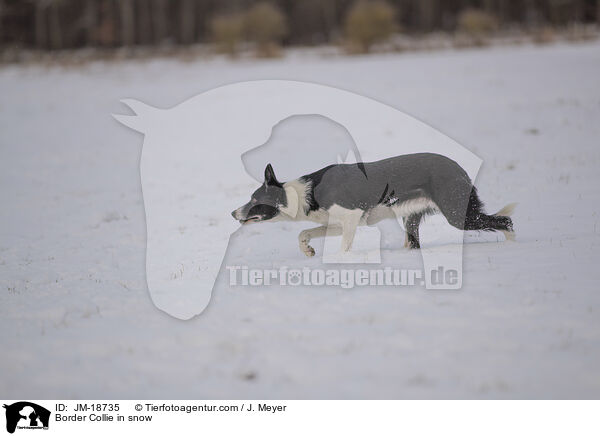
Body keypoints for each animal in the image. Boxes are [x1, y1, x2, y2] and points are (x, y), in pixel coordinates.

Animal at [232, 152, 512, 258]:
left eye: (254, 200)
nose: (233, 212)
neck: (303, 195)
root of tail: (459, 168)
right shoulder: (336, 223)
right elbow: (304, 232)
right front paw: (308, 250)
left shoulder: (351, 218)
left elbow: (344, 249)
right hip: (412, 218)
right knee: (413, 243)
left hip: (459, 215)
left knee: (506, 221)